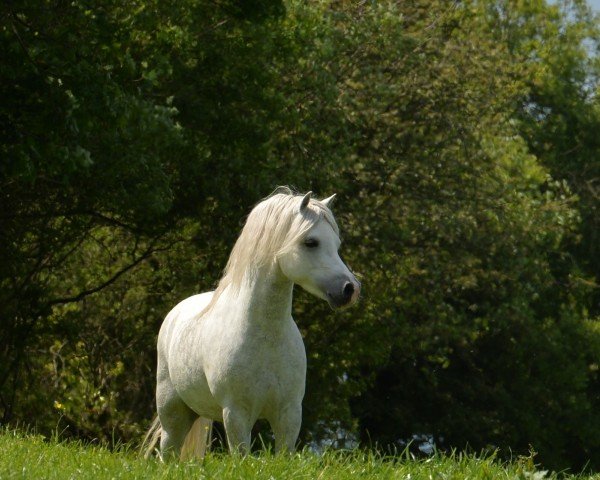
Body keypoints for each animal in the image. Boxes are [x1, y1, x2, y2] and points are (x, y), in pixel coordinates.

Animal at [144, 187, 360, 458]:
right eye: (311, 242)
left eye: (337, 244)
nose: (349, 289)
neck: (266, 336)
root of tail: (175, 313)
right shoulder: (236, 414)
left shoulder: (289, 414)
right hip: (172, 414)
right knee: (168, 453)